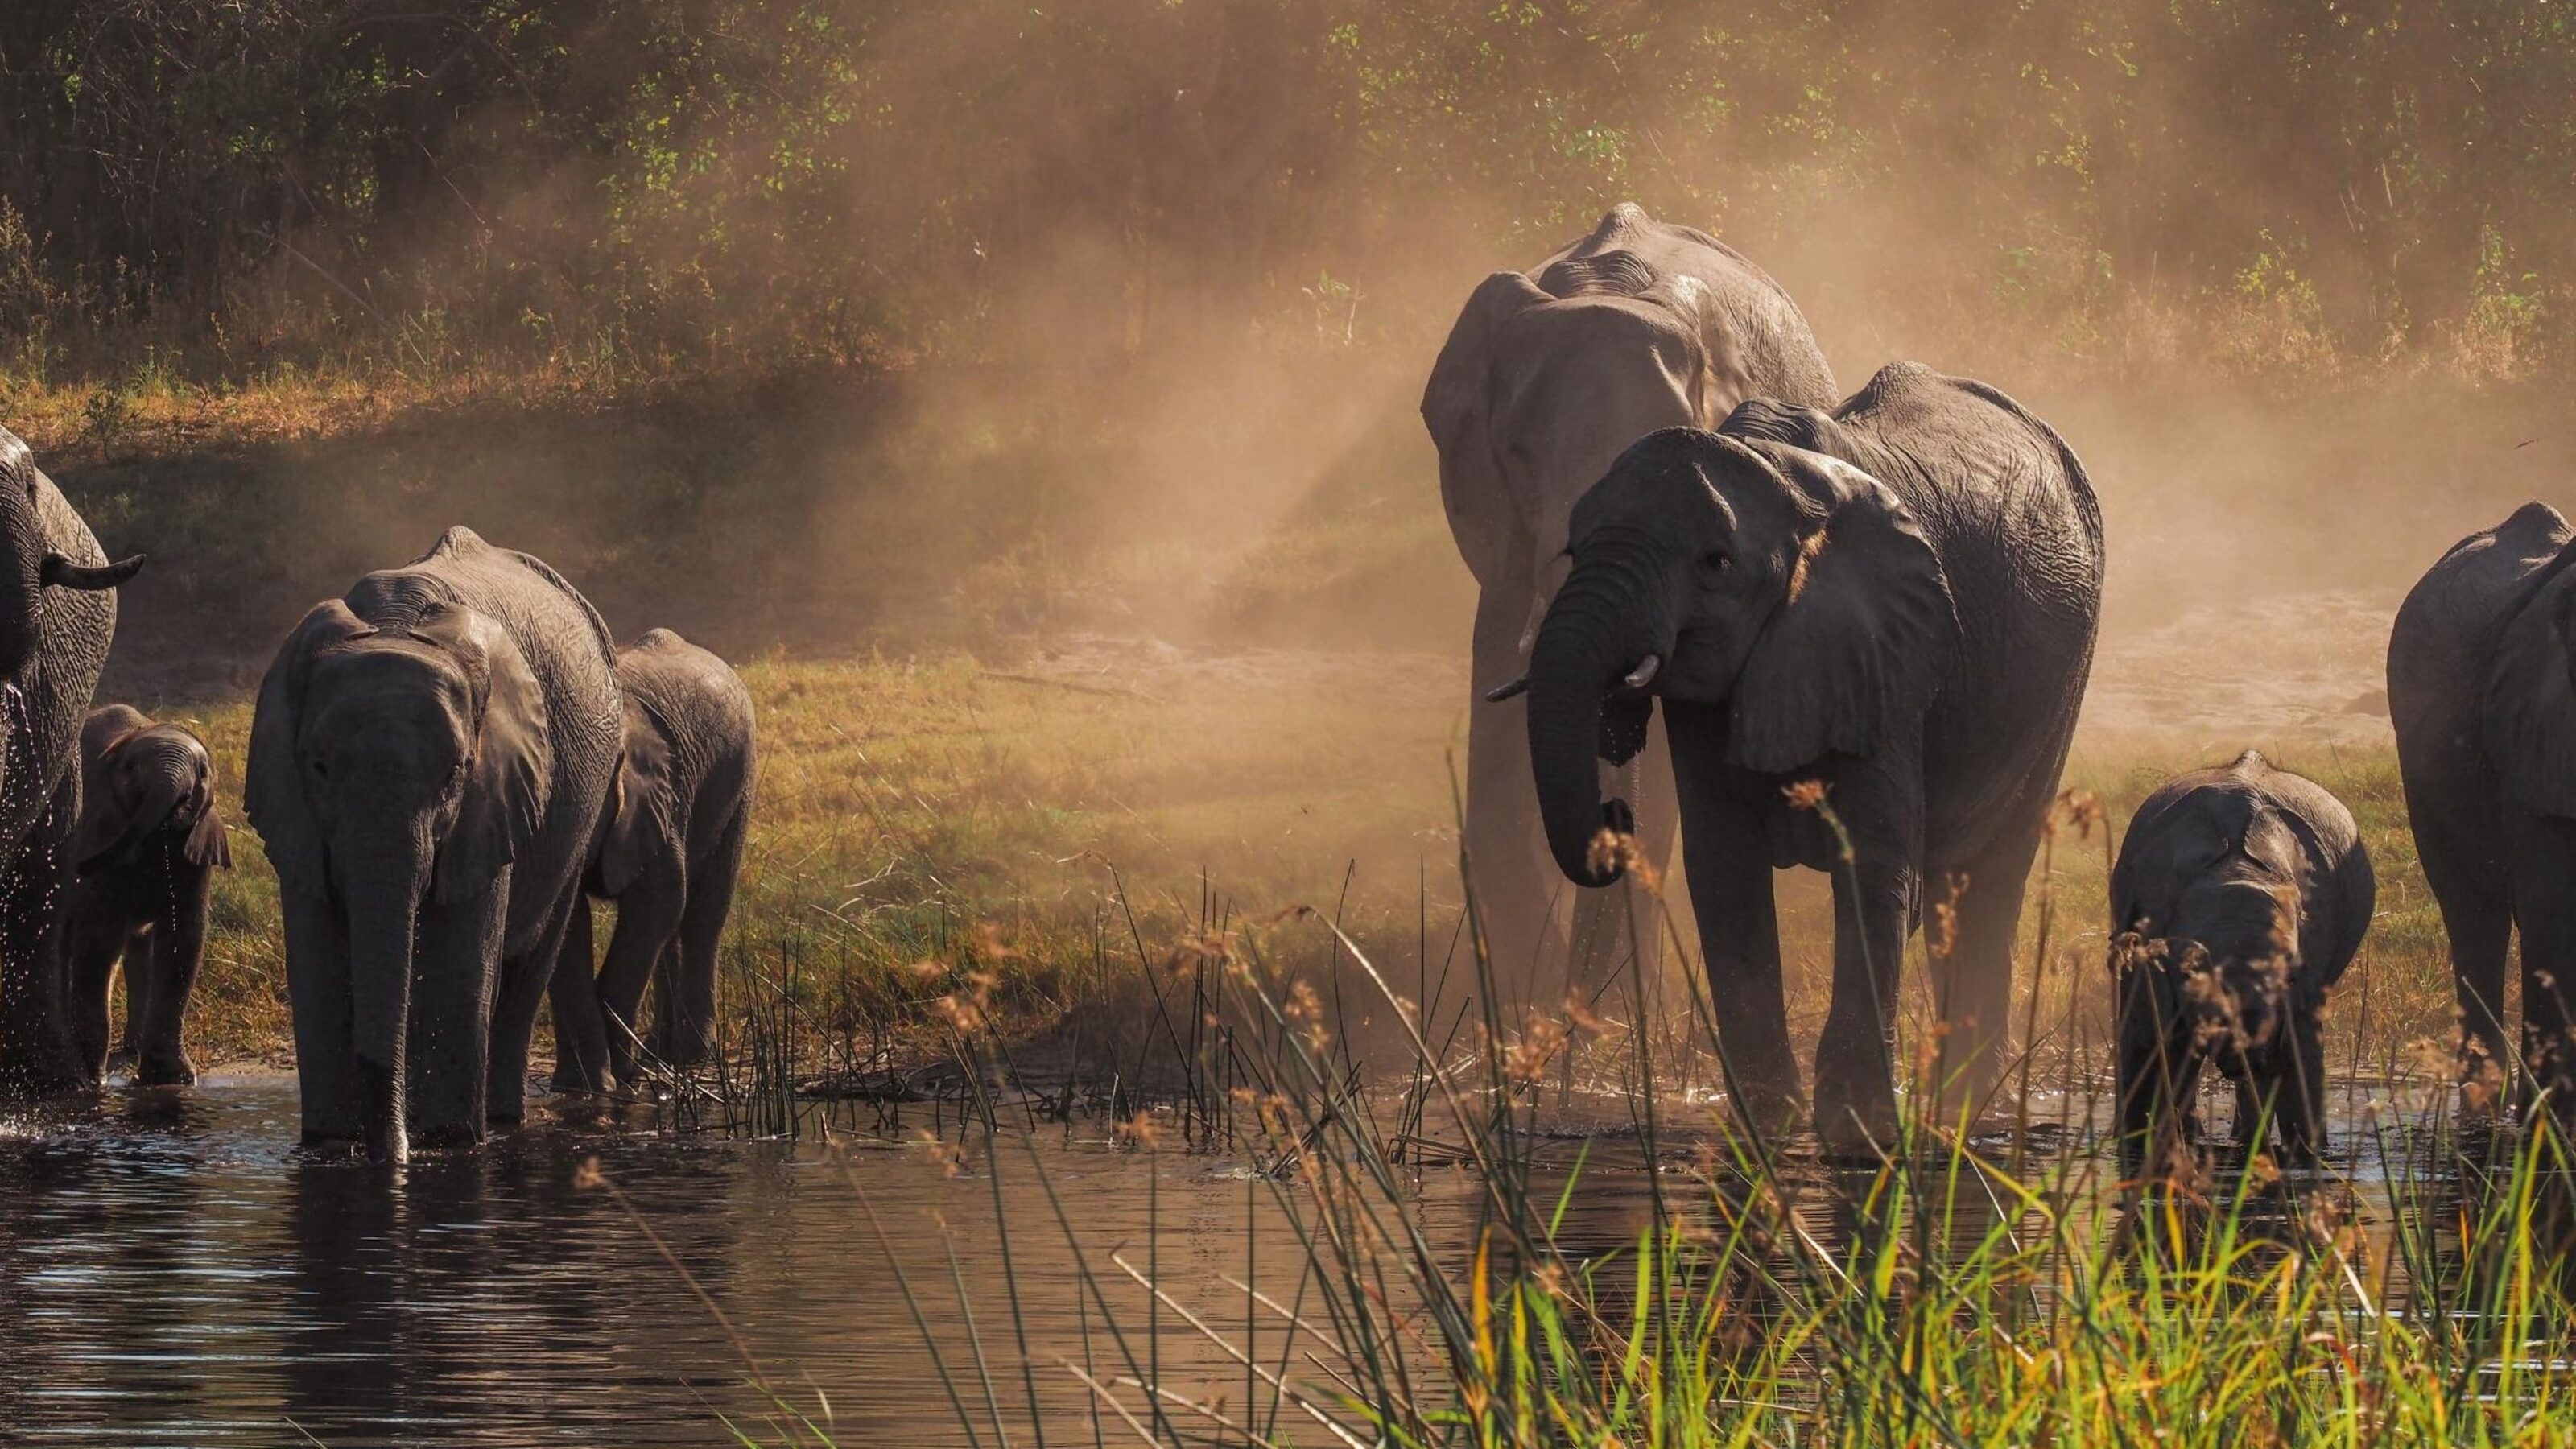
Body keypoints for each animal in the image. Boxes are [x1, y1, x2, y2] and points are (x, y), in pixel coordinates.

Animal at [62, 705, 232, 1086]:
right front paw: (92, 1083)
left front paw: (171, 1079)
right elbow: (98, 940)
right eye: (131, 769)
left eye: (202, 773)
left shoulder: (194, 854)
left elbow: (182, 941)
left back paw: (133, 1047)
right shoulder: (98, 828)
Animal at [245, 526, 621, 1162]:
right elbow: (318, 966)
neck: (395, 623)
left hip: (582, 808)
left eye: (454, 776)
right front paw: (331, 1145)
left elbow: (457, 967)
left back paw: (500, 1120)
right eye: (319, 768)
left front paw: (445, 1145)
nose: (387, 1152)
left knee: (529, 965)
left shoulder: (493, 796)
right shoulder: (294, 809)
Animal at [550, 628, 756, 1092]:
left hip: (738, 781)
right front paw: (582, 1087)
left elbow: (658, 902)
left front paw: (621, 1078)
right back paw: (660, 1054)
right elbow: (567, 926)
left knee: (702, 913)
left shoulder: (660, 799)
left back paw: (687, 1057)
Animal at [1502, 363, 2103, 1145]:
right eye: (1573, 552)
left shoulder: (1885, 648)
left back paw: (1969, 1108)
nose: (1615, 816)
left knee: (1992, 878)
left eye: (1716, 563)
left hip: (2062, 680)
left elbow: (1873, 864)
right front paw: (1768, 1128)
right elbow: (1724, 870)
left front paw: (1858, 1134)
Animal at [2108, 751, 2373, 1167]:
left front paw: (2305, 1158)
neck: (2237, 871)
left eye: (2288, 975)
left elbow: (2301, 1056)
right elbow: (2155, 1042)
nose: (2239, 1055)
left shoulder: (2312, 957)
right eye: (2191, 972)